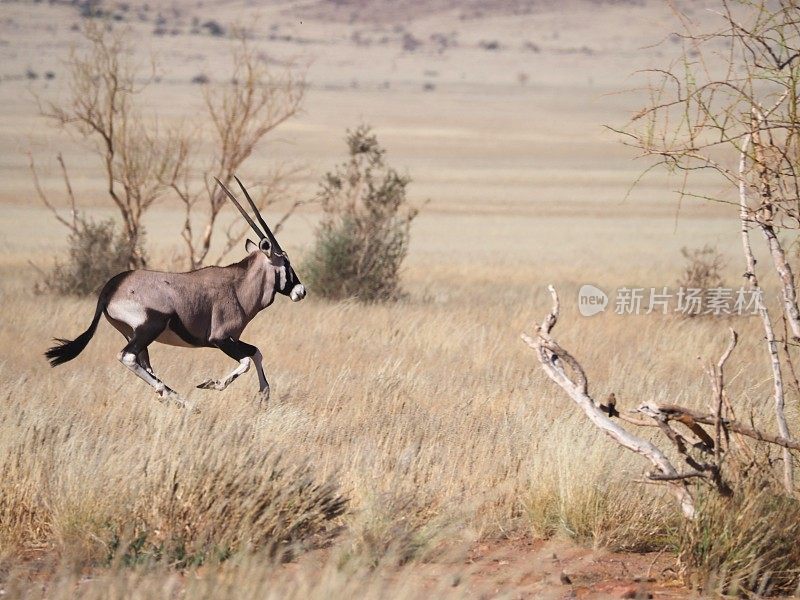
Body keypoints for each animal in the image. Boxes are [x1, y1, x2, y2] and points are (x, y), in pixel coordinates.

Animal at [45, 175, 306, 408]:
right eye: (285, 263)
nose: (300, 291)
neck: (237, 286)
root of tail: (111, 287)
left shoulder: (233, 339)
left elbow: (256, 353)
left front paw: (264, 394)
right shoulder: (220, 339)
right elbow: (246, 361)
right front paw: (210, 384)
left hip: (134, 334)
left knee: (143, 364)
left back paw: (175, 399)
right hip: (149, 328)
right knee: (128, 357)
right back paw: (184, 401)